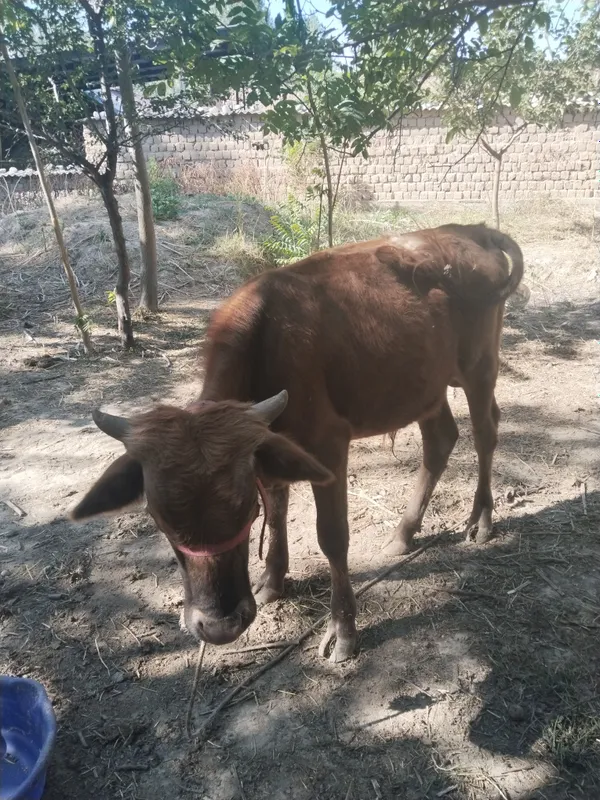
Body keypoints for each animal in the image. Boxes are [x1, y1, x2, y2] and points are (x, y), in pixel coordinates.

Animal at [71, 222, 523, 662]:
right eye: (160, 519)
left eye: (245, 511)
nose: (219, 626)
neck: (265, 346)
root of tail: (472, 228)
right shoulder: (268, 448)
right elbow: (278, 510)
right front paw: (273, 580)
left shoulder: (329, 447)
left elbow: (332, 536)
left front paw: (342, 630)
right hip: (424, 385)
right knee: (440, 439)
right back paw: (404, 533)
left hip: (480, 367)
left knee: (485, 432)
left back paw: (481, 519)